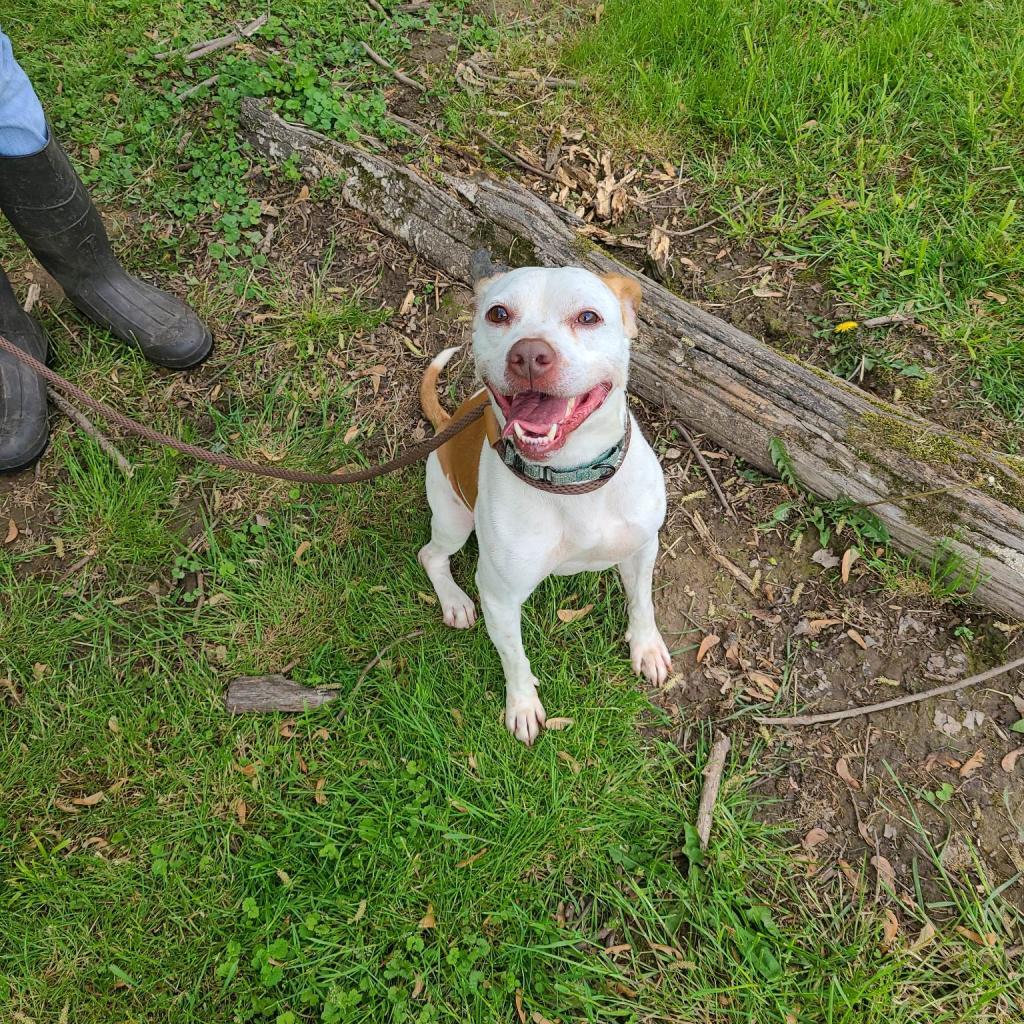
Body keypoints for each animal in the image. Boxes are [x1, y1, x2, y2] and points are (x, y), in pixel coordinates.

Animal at [415, 264, 671, 745]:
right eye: (498, 313)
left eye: (588, 317)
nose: (530, 354)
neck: (572, 478)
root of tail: (448, 423)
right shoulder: (499, 596)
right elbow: (514, 658)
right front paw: (522, 705)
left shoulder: (644, 547)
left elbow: (642, 601)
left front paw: (646, 647)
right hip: (454, 520)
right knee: (431, 555)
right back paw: (454, 601)